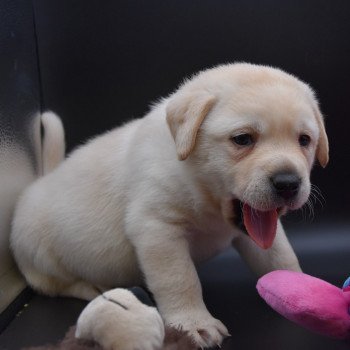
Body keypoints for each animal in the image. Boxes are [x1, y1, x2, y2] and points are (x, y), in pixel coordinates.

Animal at [10, 63, 328, 348]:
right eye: (242, 139)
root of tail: (41, 181)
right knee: (51, 283)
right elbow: (180, 278)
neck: (201, 187)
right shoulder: (157, 228)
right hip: (38, 252)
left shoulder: (259, 228)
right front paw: (195, 324)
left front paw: (303, 291)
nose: (288, 183)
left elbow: (281, 258)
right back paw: (91, 286)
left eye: (304, 140)